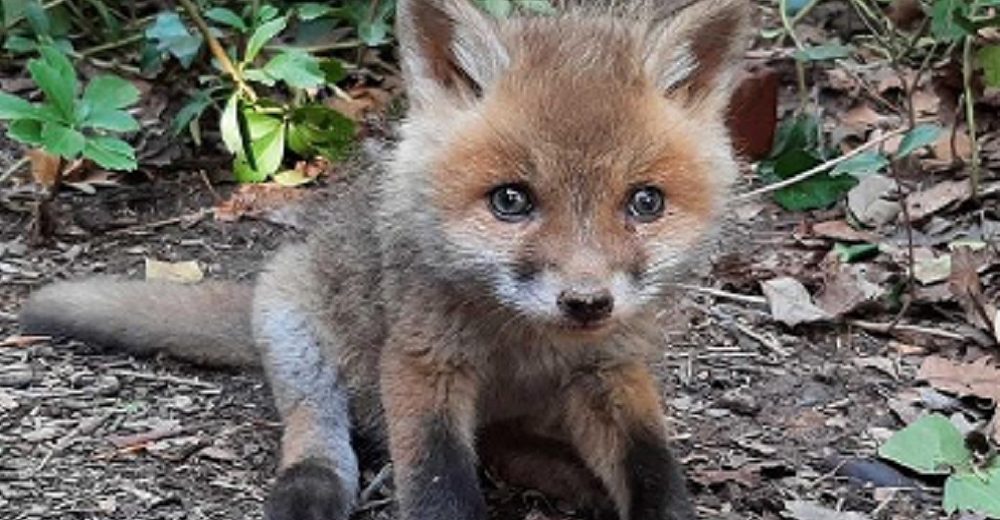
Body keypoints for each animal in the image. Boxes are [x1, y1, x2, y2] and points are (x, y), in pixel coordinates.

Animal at [17, 1, 752, 520]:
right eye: (511, 200)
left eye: (645, 203)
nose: (587, 301)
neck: (523, 344)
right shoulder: (420, 362)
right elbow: (437, 483)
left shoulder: (611, 369)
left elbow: (652, 468)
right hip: (297, 335)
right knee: (317, 429)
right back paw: (311, 487)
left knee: (506, 445)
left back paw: (575, 481)